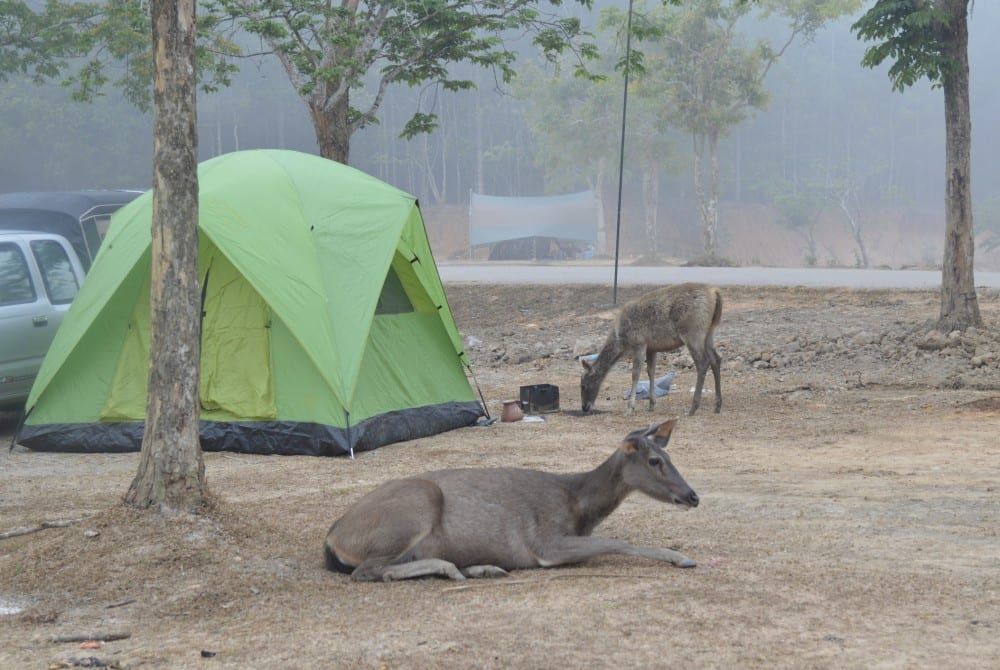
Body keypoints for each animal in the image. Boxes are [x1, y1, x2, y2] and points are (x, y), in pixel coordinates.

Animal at [326, 420, 696, 584]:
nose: (693, 496)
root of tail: (332, 538)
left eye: (669, 455)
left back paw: (481, 567)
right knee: (367, 570)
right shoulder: (544, 542)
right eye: (654, 461)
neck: (578, 506)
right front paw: (681, 557)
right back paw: (455, 569)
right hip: (414, 506)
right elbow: (617, 541)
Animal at [584, 282, 724, 414]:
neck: (621, 340)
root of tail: (715, 293)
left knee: (703, 363)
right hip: (709, 332)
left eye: (584, 383)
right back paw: (717, 406)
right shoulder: (651, 348)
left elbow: (635, 373)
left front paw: (630, 408)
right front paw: (651, 404)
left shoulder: (639, 343)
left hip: (692, 333)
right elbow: (651, 371)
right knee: (716, 359)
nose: (584, 407)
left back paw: (693, 408)